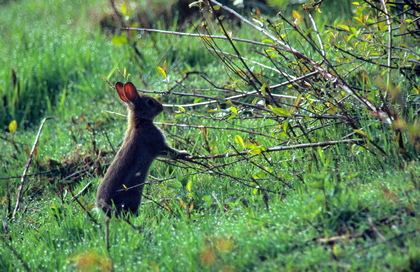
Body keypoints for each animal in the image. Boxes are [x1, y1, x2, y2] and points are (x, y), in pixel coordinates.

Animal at [96, 81, 189, 249]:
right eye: (150, 102)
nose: (161, 107)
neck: (139, 123)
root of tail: (104, 209)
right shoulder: (157, 145)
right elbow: (170, 152)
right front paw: (184, 154)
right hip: (132, 199)